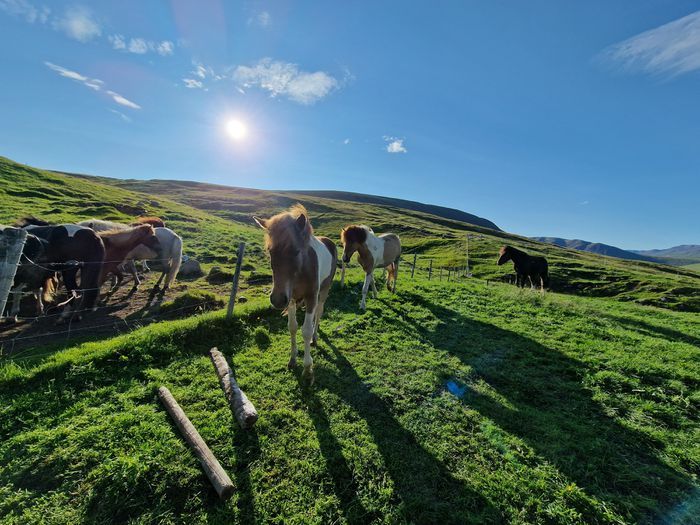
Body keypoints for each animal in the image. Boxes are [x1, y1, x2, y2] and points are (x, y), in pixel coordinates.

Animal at [253, 204, 338, 380]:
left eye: (296, 251)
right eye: (270, 251)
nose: (277, 299)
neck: (301, 270)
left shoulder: (311, 296)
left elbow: (306, 331)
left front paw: (307, 369)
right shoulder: (290, 298)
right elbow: (292, 327)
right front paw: (292, 359)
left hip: (323, 291)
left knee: (319, 312)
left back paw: (315, 337)